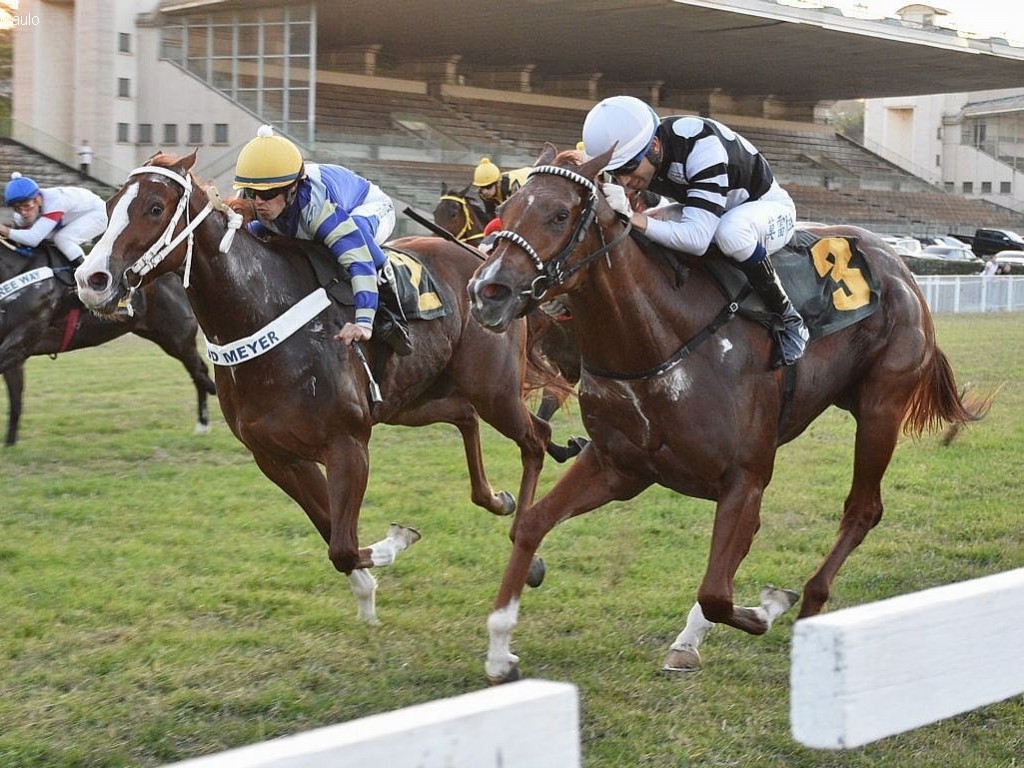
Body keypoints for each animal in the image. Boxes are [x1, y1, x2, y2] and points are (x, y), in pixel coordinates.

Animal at [0, 237, 216, 448]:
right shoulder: (17, 353)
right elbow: (15, 400)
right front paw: (10, 445)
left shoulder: (20, 341)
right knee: (199, 373)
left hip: (178, 338)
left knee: (200, 372)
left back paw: (203, 423)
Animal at [468, 145, 987, 684]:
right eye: (506, 209)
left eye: (559, 214)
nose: (487, 291)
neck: (661, 337)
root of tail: (899, 266)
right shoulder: (619, 466)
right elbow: (529, 525)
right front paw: (500, 649)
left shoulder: (745, 475)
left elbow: (717, 592)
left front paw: (769, 607)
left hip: (881, 405)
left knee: (862, 510)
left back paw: (809, 604)